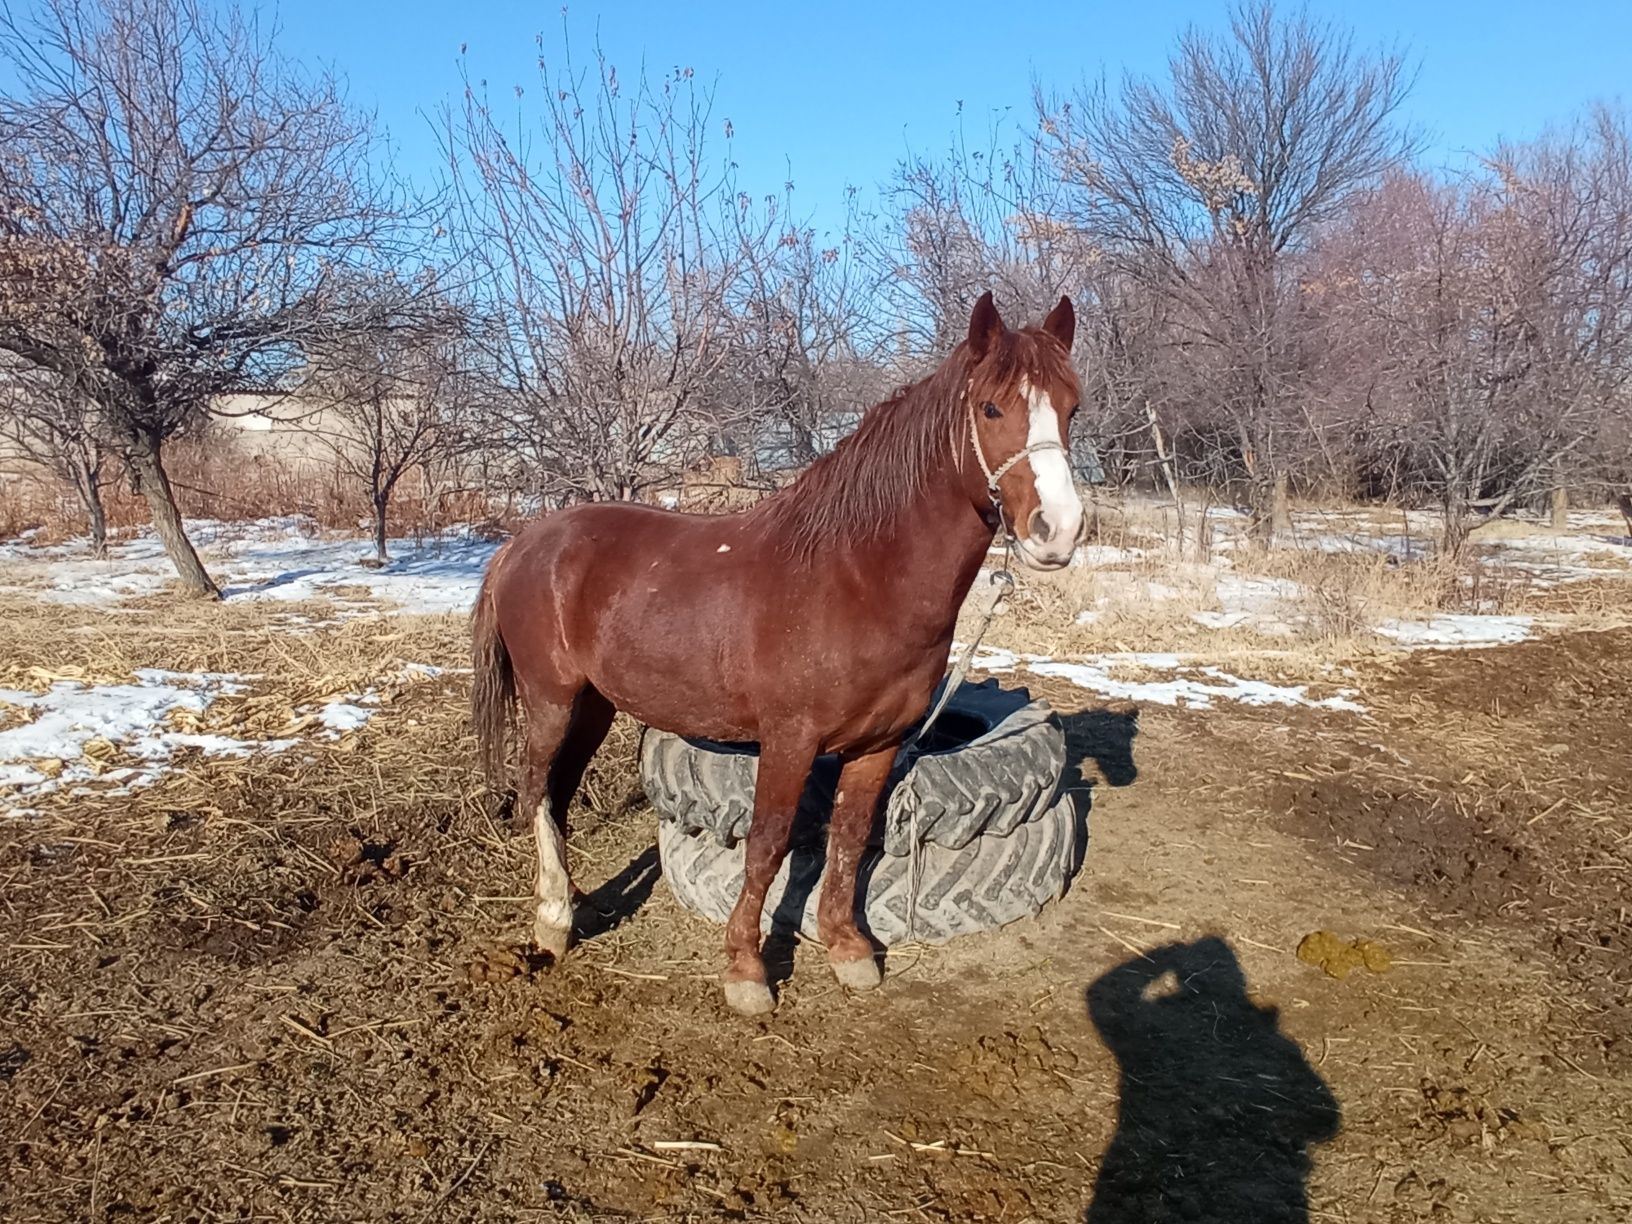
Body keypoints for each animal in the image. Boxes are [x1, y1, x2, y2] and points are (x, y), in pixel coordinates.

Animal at [473, 295, 1083, 1018]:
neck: (855, 577)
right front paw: (745, 969)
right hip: (551, 698)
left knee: (560, 792)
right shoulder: (789, 739)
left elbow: (849, 838)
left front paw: (848, 950)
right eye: (991, 409)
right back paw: (552, 920)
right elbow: (766, 846)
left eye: (1072, 409)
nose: (1059, 531)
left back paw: (574, 898)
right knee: (536, 785)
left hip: (595, 705)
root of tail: (525, 542)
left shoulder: (880, 745)